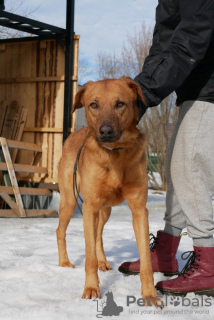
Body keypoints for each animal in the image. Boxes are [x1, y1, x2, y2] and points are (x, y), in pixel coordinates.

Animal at [56, 77, 162, 308]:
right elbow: (89, 258)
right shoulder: (89, 208)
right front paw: (91, 289)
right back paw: (64, 262)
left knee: (98, 235)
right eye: (93, 105)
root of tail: (75, 133)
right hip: (70, 202)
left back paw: (103, 261)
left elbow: (147, 263)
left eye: (120, 103)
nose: (105, 131)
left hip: (104, 211)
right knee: (61, 231)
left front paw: (150, 295)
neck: (115, 155)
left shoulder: (139, 210)